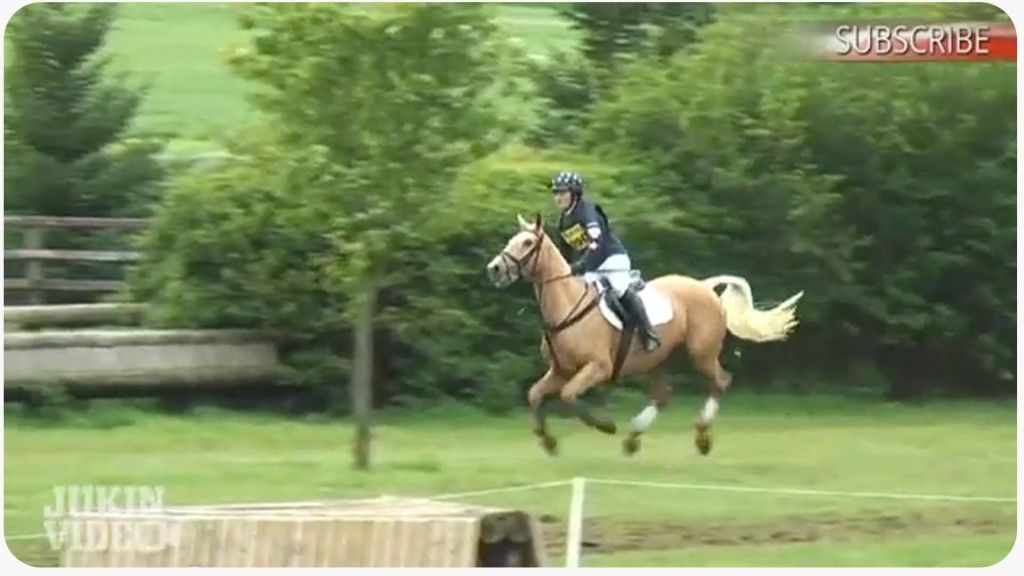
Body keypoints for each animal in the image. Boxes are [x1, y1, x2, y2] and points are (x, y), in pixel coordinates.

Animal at [486, 212, 804, 456]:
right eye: (512, 240)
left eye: (527, 242)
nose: (495, 268)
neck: (566, 304)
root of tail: (703, 286)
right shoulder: (561, 370)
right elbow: (535, 395)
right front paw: (548, 441)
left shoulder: (597, 368)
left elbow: (568, 396)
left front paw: (605, 425)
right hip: (658, 361)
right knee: (662, 398)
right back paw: (632, 438)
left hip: (701, 354)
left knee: (720, 382)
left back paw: (701, 436)